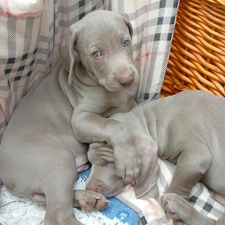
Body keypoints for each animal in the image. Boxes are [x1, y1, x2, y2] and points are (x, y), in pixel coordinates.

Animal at [0, 10, 141, 225]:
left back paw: (88, 199)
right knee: (57, 214)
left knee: (42, 197)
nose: (127, 80)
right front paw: (128, 160)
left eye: (125, 42)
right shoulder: (80, 120)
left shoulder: (130, 103)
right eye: (96, 54)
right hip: (58, 160)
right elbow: (114, 124)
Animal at [87, 90, 225, 225]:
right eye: (90, 160)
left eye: (113, 163)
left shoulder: (196, 157)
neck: (152, 118)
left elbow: (178, 185)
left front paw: (176, 215)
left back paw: (176, 205)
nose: (89, 188)